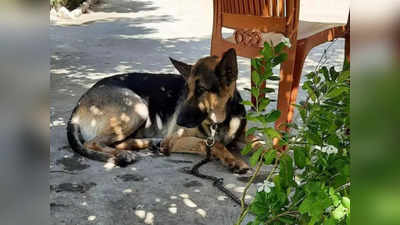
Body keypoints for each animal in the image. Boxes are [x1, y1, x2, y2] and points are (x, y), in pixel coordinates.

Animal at [67, 48, 255, 173]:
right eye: (187, 88)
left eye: (201, 89)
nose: (178, 120)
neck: (221, 120)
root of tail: (78, 105)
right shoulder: (176, 139)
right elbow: (214, 144)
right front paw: (233, 160)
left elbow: (257, 140)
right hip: (138, 108)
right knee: (92, 143)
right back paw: (124, 154)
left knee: (115, 142)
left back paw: (147, 144)